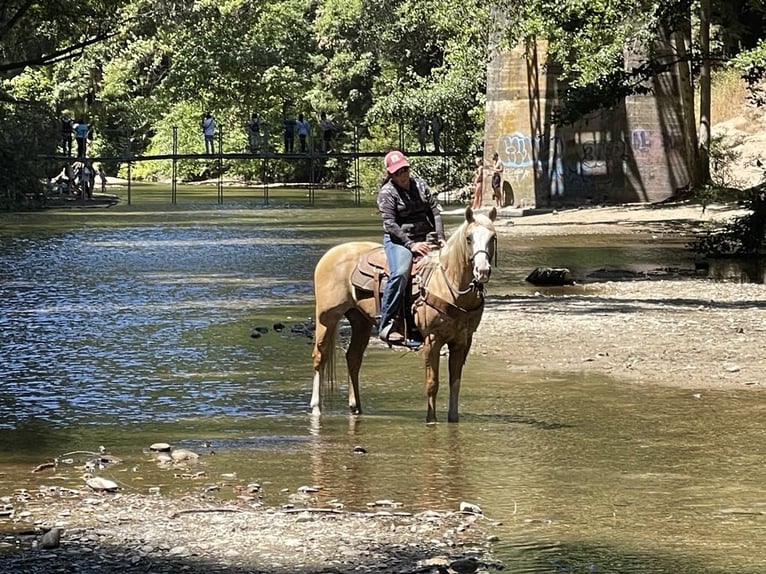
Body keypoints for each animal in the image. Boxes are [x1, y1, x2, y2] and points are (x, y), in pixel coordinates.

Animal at [310, 206, 498, 423]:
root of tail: (332, 253)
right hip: (327, 318)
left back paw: (356, 407)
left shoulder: (462, 341)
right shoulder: (432, 340)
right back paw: (316, 408)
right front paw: (431, 420)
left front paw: (453, 419)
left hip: (360, 321)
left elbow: (455, 382)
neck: (449, 285)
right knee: (320, 357)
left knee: (353, 358)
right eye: (469, 238)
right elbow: (432, 383)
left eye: (493, 237)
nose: (482, 271)